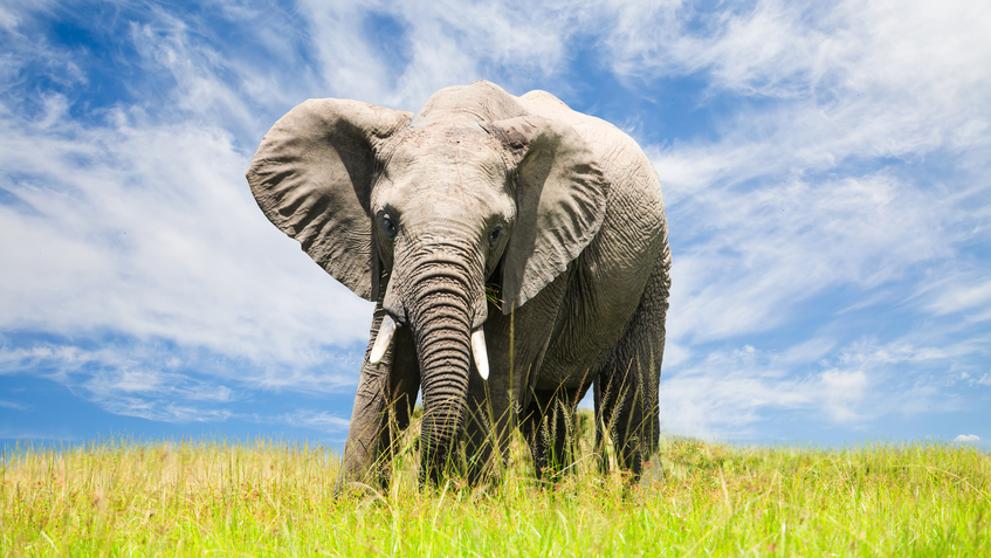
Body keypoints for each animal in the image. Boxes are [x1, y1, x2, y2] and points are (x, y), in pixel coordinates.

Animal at [246, 81, 671, 486]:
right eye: (387, 222)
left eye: (497, 232)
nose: (427, 482)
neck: (462, 113)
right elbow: (386, 367)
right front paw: (357, 504)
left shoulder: (539, 251)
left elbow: (497, 369)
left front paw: (467, 501)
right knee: (550, 412)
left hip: (653, 264)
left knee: (630, 397)